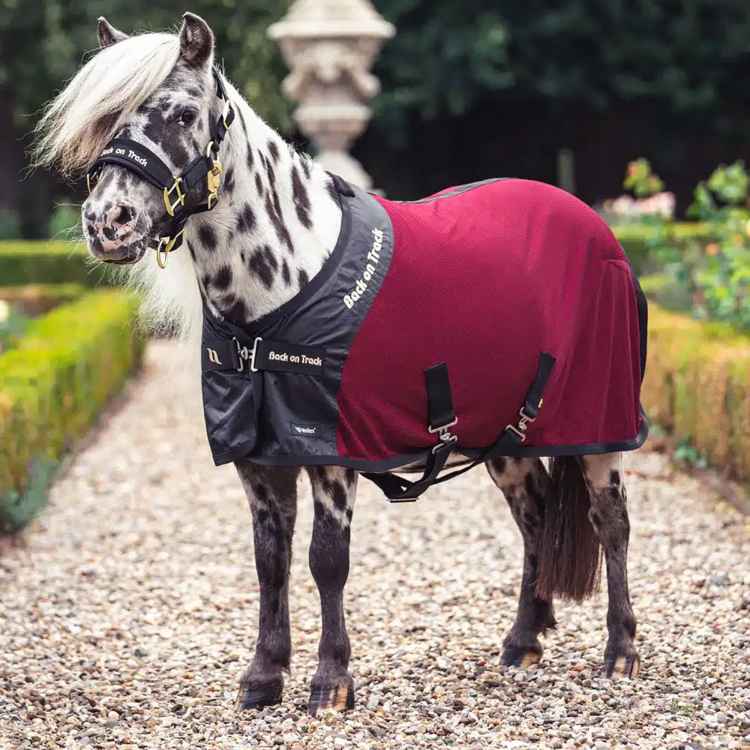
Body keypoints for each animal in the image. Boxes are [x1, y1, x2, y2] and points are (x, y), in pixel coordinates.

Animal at [34, 13, 646, 715]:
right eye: (104, 120)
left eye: (185, 112)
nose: (108, 222)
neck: (282, 286)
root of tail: (594, 225)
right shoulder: (259, 459)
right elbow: (269, 561)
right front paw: (263, 677)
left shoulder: (331, 456)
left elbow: (327, 561)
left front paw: (330, 681)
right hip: (504, 437)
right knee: (536, 514)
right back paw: (522, 639)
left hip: (600, 429)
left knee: (611, 522)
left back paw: (620, 651)